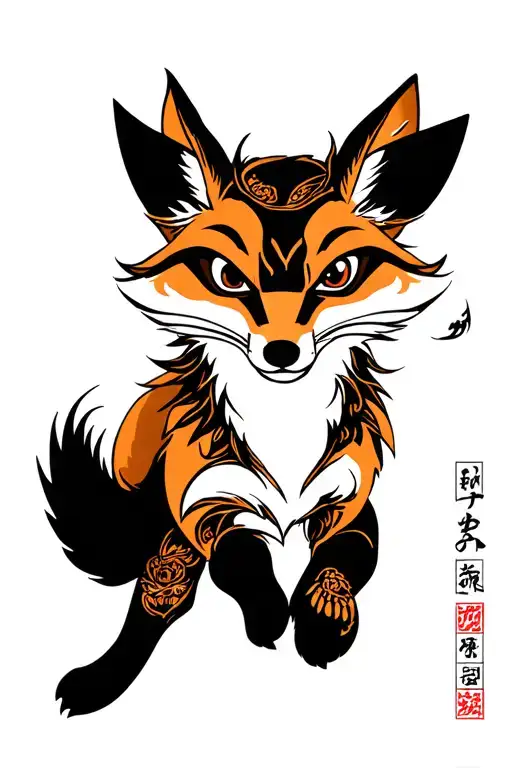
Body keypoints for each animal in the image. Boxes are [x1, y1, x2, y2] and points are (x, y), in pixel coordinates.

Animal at [39, 71, 468, 716]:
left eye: (338, 275)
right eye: (227, 278)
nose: (281, 352)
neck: (283, 423)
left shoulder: (351, 500)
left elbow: (342, 561)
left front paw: (323, 623)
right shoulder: (204, 503)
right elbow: (241, 556)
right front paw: (268, 613)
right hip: (170, 540)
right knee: (159, 594)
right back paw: (101, 679)